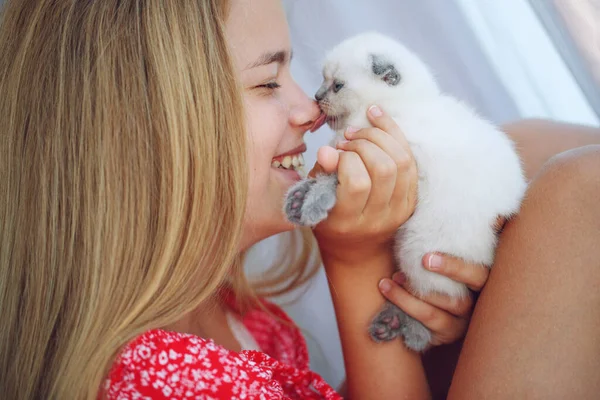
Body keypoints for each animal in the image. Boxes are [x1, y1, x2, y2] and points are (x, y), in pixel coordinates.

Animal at [286, 31, 524, 350]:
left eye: (337, 85)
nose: (317, 96)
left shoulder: (390, 156)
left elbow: (334, 178)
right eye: (323, 80)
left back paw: (405, 327)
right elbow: (328, 174)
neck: (392, 107)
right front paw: (299, 197)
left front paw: (312, 202)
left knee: (435, 293)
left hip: (421, 246)